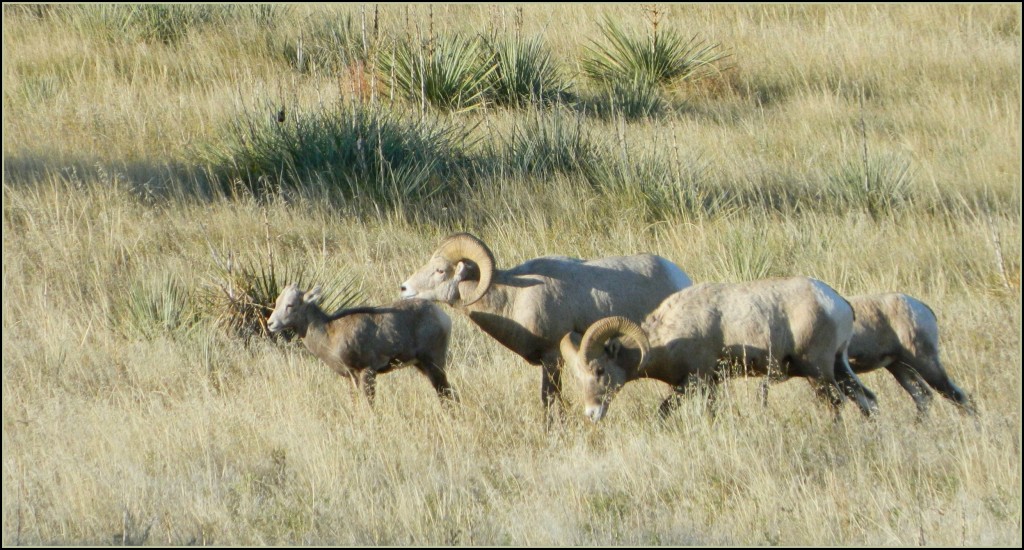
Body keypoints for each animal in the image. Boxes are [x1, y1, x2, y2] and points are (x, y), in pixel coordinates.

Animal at [268, 282, 456, 403]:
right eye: (277, 302)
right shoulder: (351, 377)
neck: (330, 332)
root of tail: (441, 316)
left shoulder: (367, 372)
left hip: (433, 364)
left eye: (290, 305)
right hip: (422, 365)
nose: (270, 324)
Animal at [395, 229, 692, 413]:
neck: (513, 297)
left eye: (440, 270)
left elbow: (549, 400)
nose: (404, 288)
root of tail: (680, 277)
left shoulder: (551, 359)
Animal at [561, 276, 880, 421]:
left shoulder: (695, 381)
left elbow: (663, 412)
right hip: (838, 367)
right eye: (579, 376)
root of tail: (838, 303)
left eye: (599, 370)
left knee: (836, 404)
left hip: (818, 371)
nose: (592, 413)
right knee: (867, 400)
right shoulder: (711, 385)